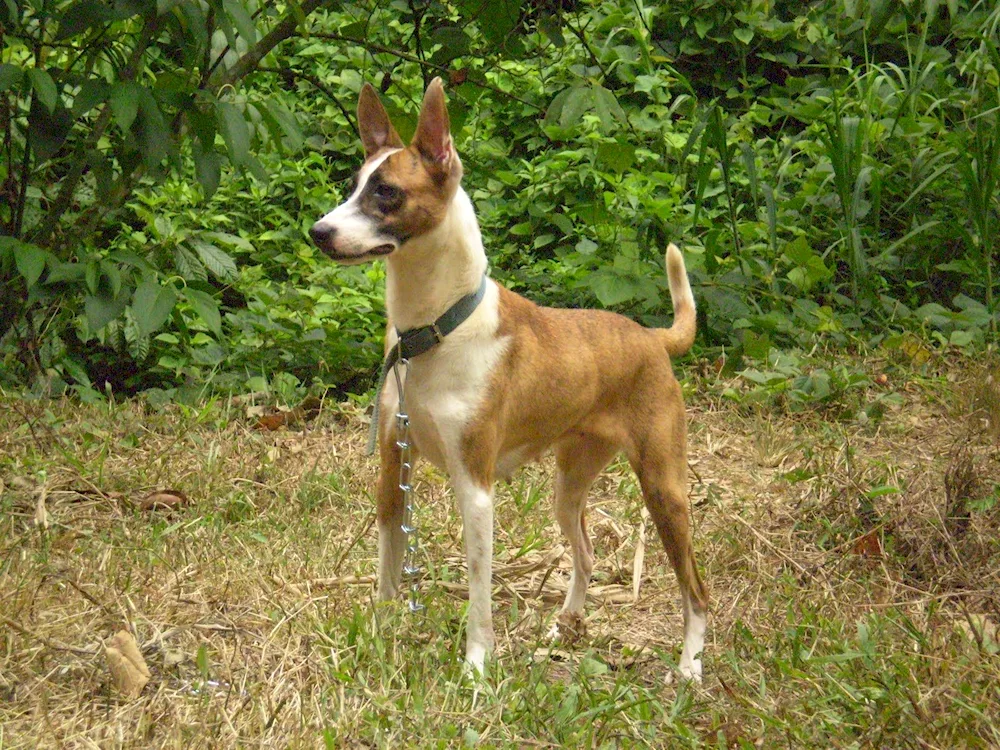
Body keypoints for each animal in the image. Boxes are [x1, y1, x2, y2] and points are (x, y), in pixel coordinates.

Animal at [308, 79, 708, 684]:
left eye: (387, 193)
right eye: (351, 187)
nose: (318, 232)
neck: (433, 332)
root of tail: (653, 338)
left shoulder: (475, 489)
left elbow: (479, 592)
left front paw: (477, 665)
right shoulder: (392, 476)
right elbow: (386, 577)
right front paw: (378, 643)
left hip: (665, 489)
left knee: (696, 590)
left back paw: (689, 668)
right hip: (568, 488)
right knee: (585, 553)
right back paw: (566, 626)